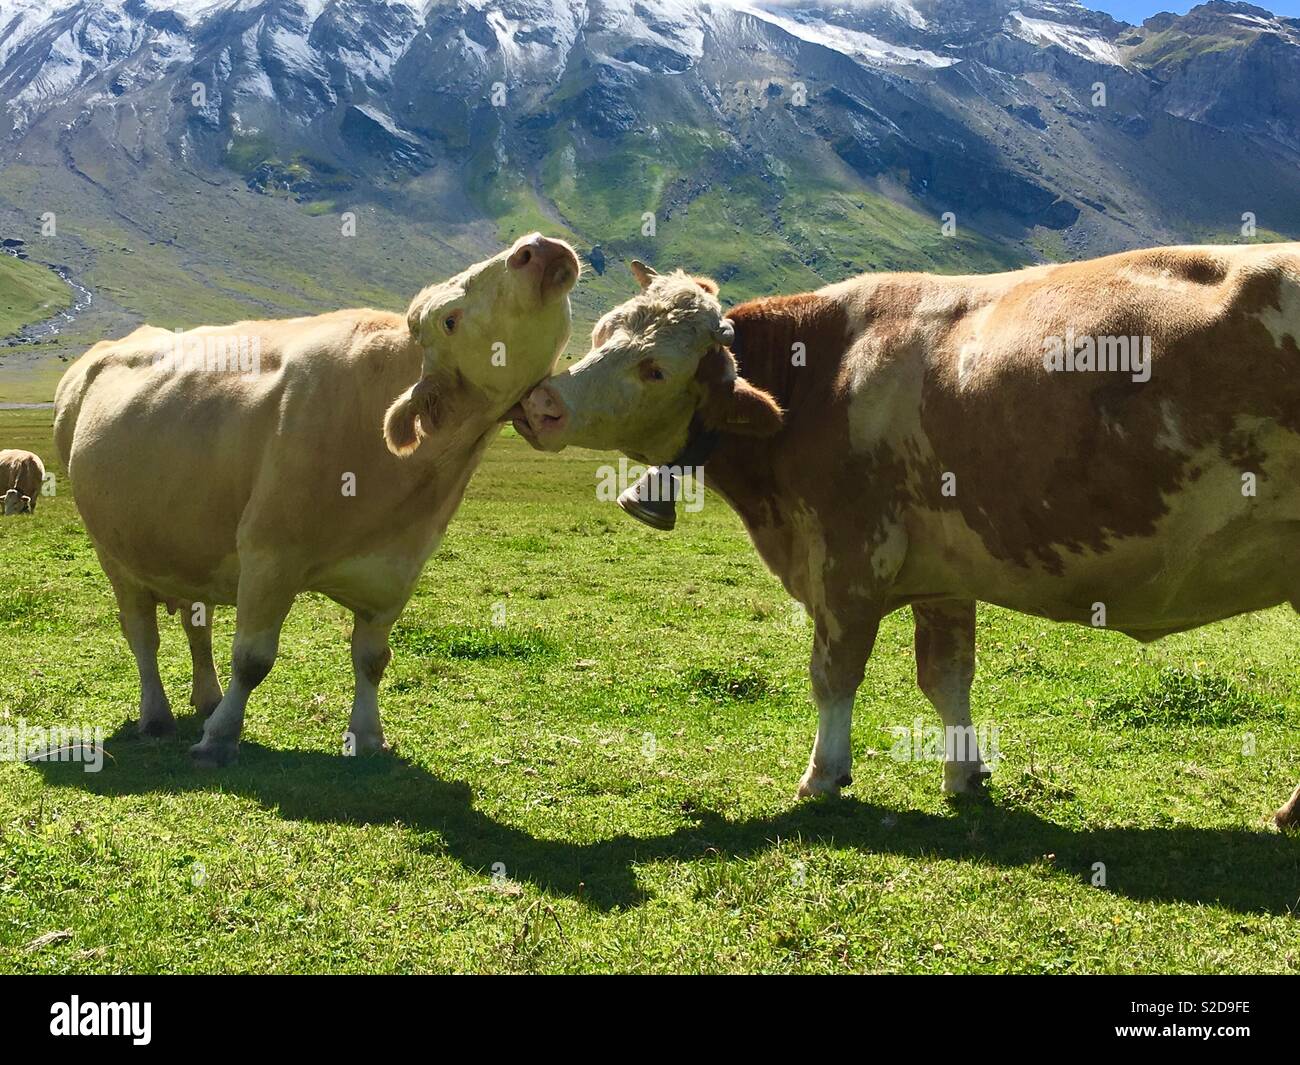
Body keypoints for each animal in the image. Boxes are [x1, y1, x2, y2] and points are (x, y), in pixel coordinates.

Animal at [55, 232, 574, 764]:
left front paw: (368, 736)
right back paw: (157, 715)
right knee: (142, 634)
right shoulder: (268, 555)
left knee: (198, 626)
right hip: (113, 553)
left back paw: (206, 697)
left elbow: (372, 659)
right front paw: (220, 738)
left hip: (186, 548)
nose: (536, 246)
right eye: (450, 319)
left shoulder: (394, 573)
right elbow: (252, 659)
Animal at [514, 245, 1300, 827]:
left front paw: (822, 774)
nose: (543, 403)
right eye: (600, 332)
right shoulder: (943, 577)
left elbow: (833, 675)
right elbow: (947, 677)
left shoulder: (847, 560)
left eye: (655, 368)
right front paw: (964, 773)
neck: (820, 375)